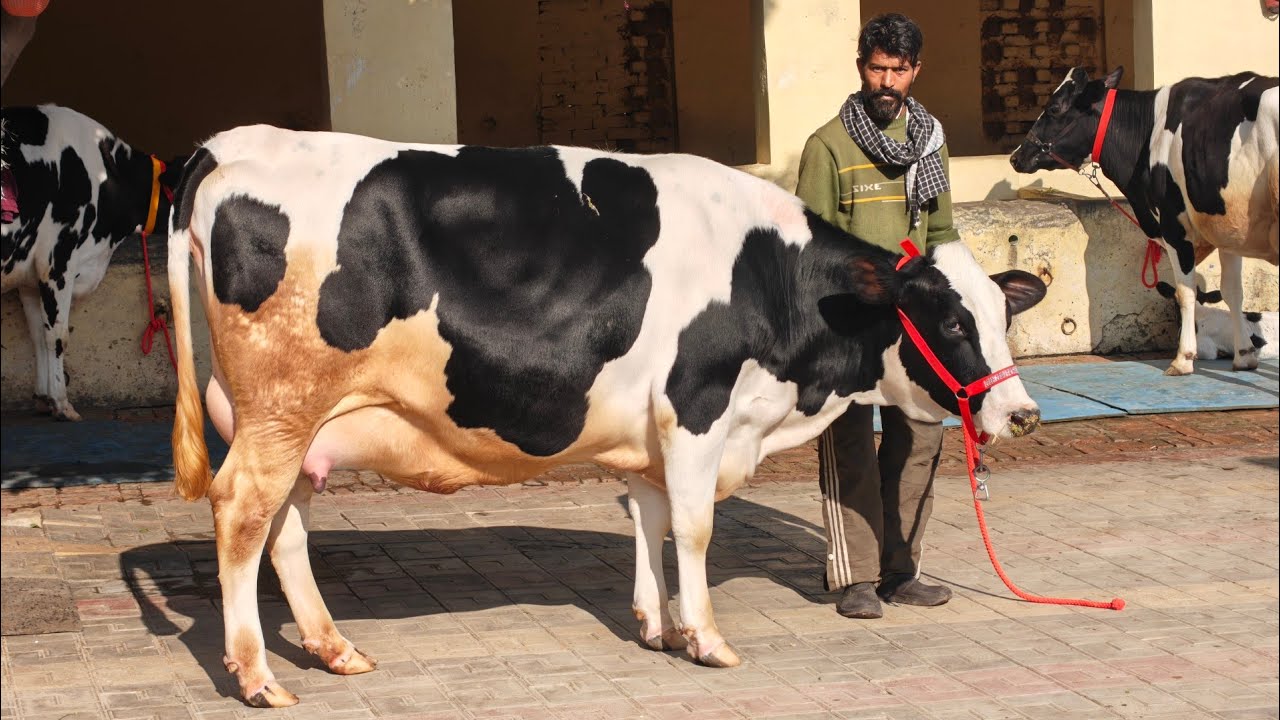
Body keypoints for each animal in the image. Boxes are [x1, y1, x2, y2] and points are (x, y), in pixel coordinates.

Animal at [1, 104, 184, 420]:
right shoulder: (57, 261)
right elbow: (57, 336)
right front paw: (62, 404)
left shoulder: (29, 276)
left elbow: (38, 335)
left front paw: (43, 397)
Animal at [168, 125, 1047, 708]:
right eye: (952, 322)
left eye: (1003, 315)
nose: (1024, 413)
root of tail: (233, 142)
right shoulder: (697, 404)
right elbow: (692, 526)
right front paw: (708, 639)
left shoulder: (657, 428)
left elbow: (649, 516)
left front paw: (659, 626)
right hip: (281, 408)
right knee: (242, 514)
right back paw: (257, 676)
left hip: (295, 422)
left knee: (284, 528)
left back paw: (331, 649)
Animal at [1008, 66, 1279, 376]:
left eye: (1054, 108)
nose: (1016, 157)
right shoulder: (1226, 229)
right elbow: (1233, 292)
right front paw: (1244, 355)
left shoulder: (1175, 226)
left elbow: (1185, 292)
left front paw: (1183, 359)